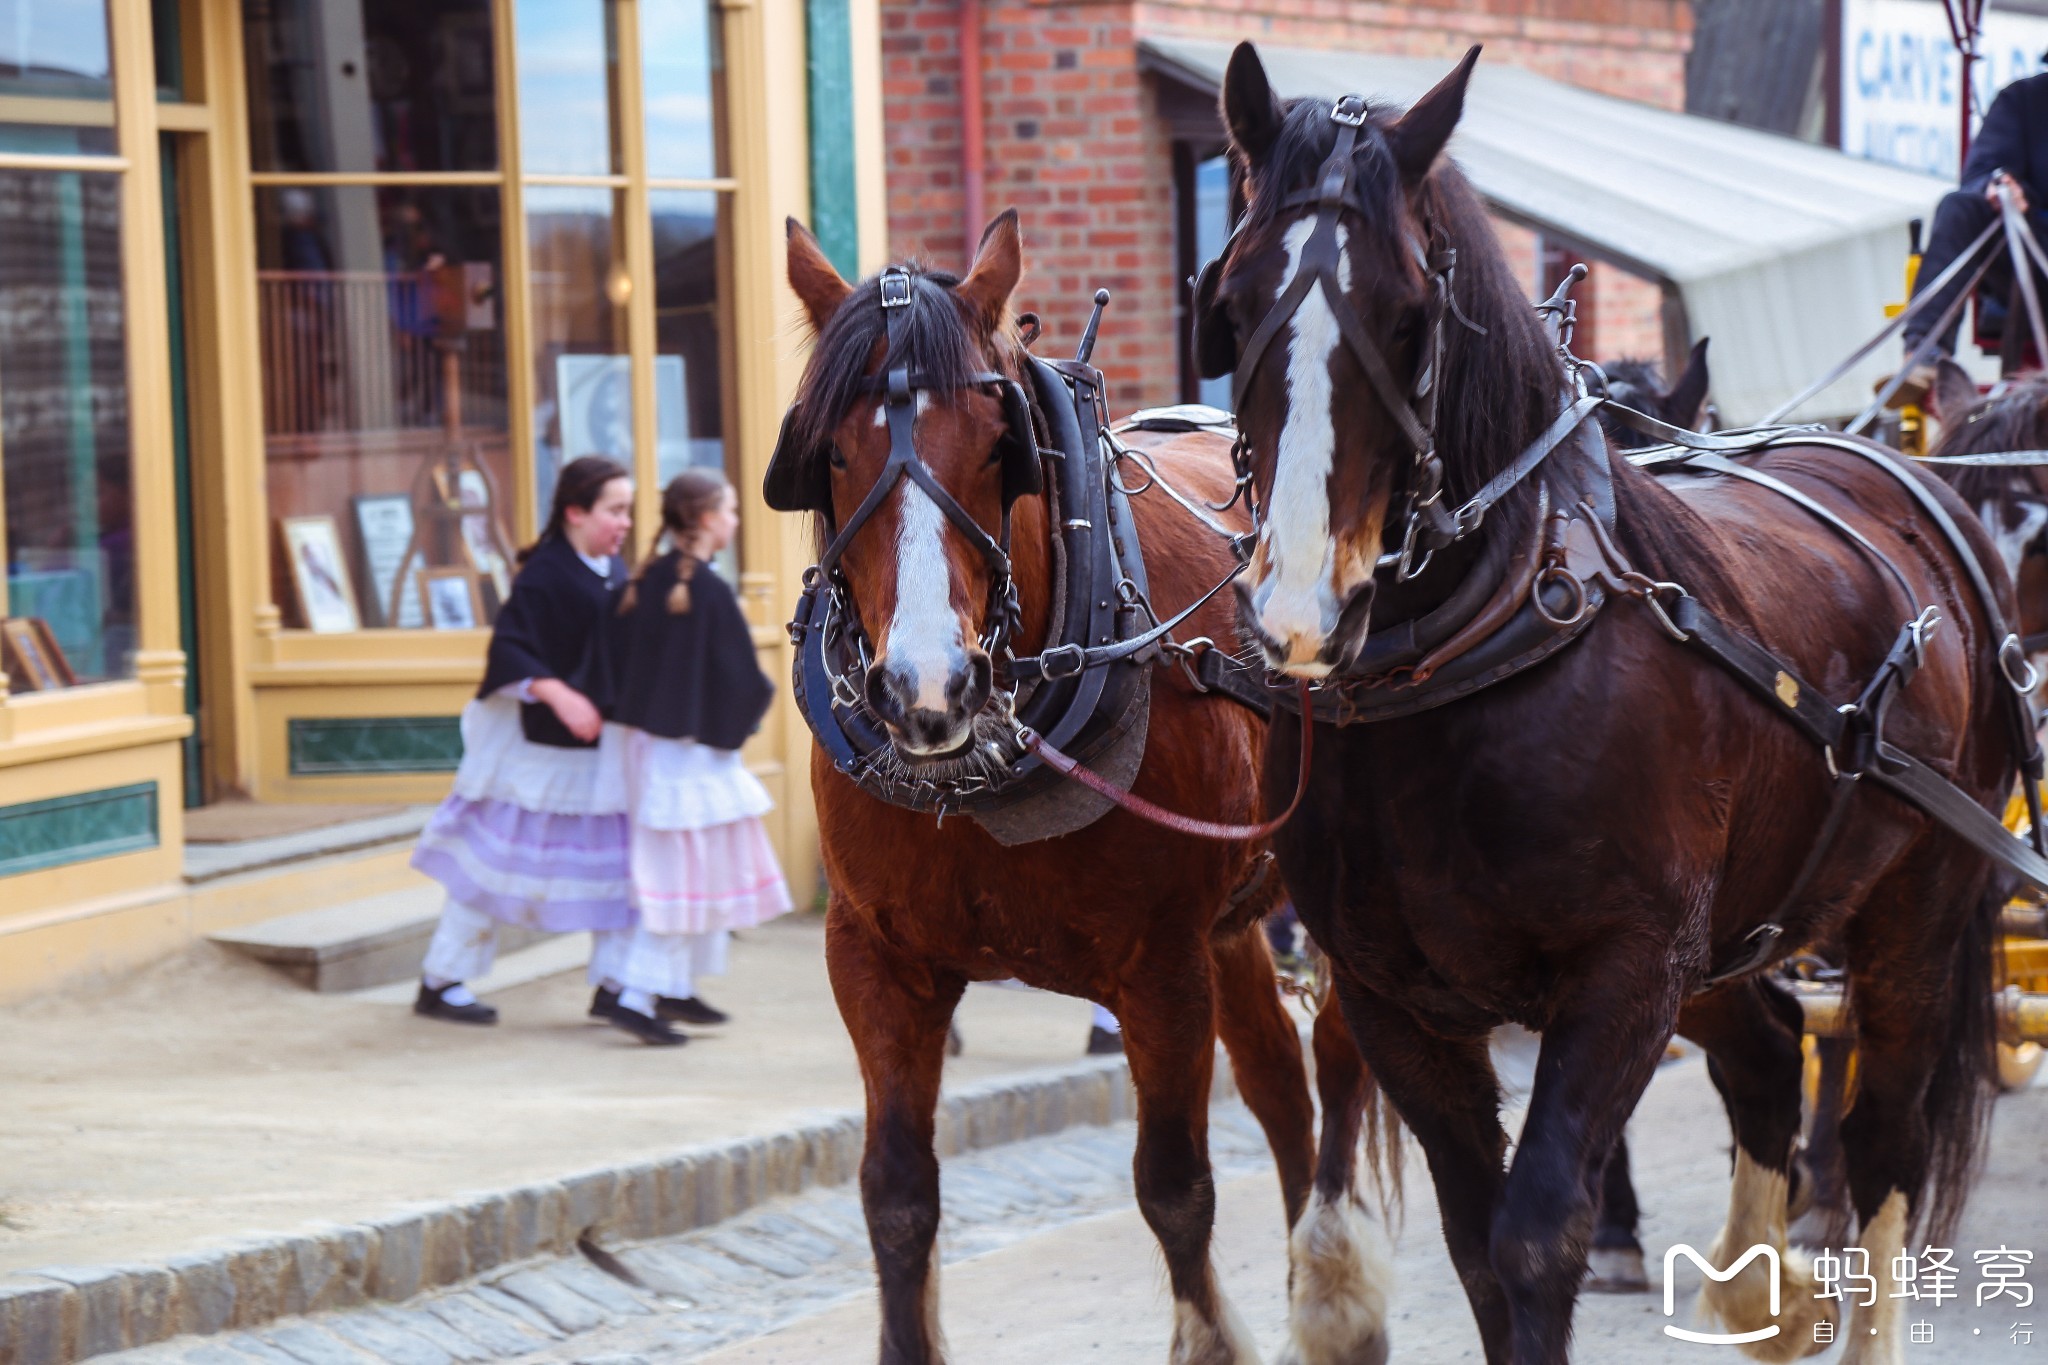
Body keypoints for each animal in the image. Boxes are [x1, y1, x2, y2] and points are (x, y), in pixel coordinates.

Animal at [778, 213, 1392, 1365]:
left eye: (995, 447)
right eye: (828, 452)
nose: (925, 687)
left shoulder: (1158, 966)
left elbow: (1175, 1188)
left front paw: (1214, 1336)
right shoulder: (872, 957)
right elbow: (896, 1197)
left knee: (1337, 1064)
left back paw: (1336, 1293)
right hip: (1236, 918)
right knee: (1280, 1087)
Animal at [1196, 45, 2015, 1365]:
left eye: (1409, 315)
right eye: (1227, 303)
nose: (1305, 602)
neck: (1468, 654)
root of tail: (1910, 483)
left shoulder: (1625, 969)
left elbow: (1536, 1234)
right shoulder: (1390, 997)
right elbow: (1476, 1244)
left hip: (1913, 913)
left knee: (1881, 1137)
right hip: (1732, 937)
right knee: (1768, 1057)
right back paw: (1760, 1296)